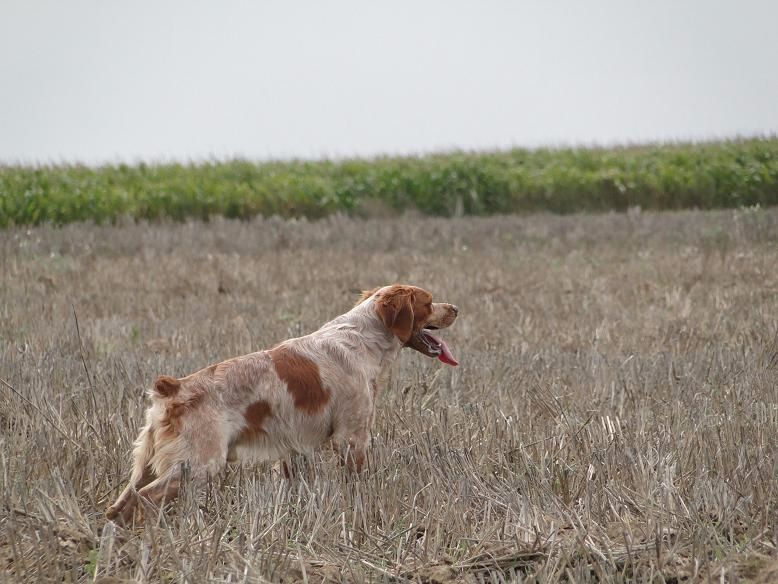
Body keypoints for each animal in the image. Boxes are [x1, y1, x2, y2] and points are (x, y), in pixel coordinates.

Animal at [103, 284, 454, 524]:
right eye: (428, 302)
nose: (455, 307)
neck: (361, 339)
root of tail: (173, 390)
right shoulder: (351, 437)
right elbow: (356, 485)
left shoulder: (294, 449)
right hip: (197, 464)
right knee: (143, 500)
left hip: (147, 465)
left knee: (117, 508)